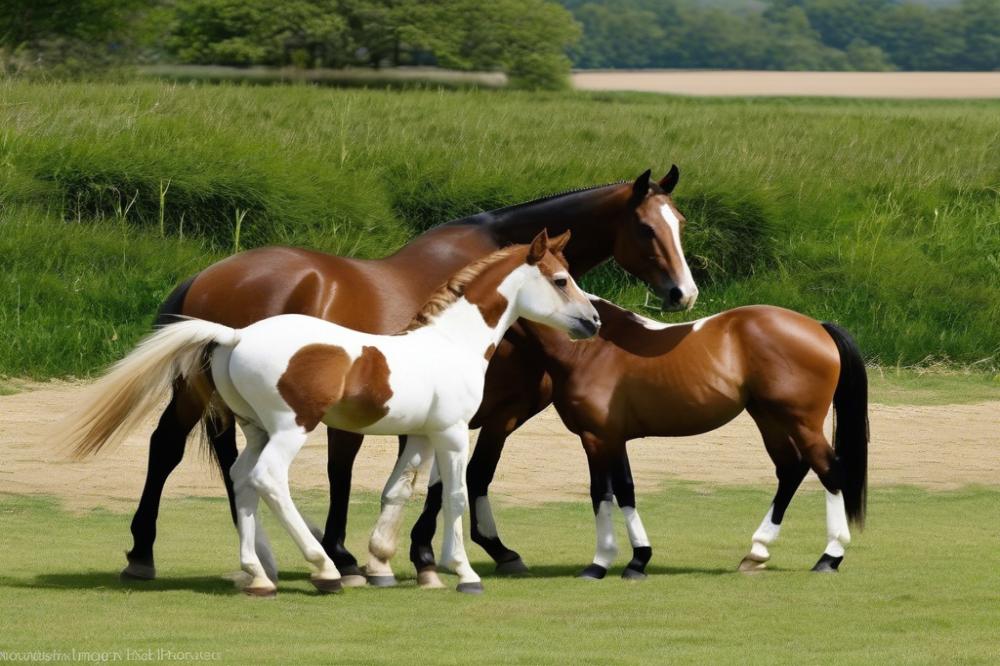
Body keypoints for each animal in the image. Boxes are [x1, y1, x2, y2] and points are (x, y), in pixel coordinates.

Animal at [54, 230, 596, 596]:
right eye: (560, 280)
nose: (591, 321)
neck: (449, 344)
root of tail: (236, 334)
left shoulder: (422, 435)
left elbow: (397, 491)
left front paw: (388, 565)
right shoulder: (454, 433)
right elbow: (458, 496)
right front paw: (463, 573)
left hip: (255, 429)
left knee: (242, 478)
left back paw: (259, 575)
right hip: (290, 428)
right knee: (268, 479)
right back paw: (324, 569)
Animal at [115, 166, 696, 580]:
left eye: (681, 225)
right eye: (646, 228)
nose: (682, 294)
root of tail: (205, 277)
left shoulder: (480, 416)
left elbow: (446, 479)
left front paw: (434, 551)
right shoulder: (489, 414)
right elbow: (452, 482)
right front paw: (432, 552)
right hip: (203, 397)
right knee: (165, 448)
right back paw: (145, 552)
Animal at [438, 298, 868, 580]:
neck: (589, 348)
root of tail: (818, 327)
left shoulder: (596, 439)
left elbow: (602, 493)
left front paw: (601, 563)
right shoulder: (614, 439)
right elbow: (625, 490)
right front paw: (636, 560)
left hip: (800, 422)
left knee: (829, 471)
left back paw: (829, 557)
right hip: (769, 418)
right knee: (792, 469)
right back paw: (757, 551)